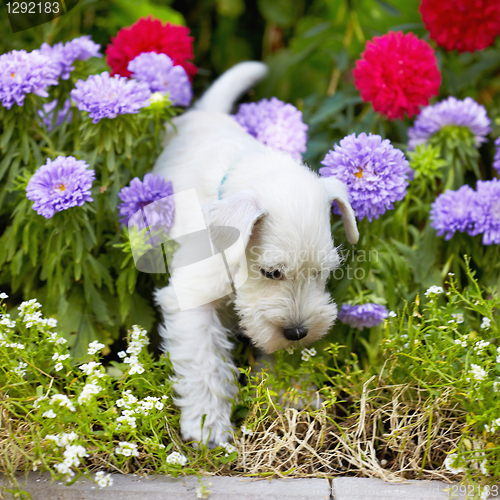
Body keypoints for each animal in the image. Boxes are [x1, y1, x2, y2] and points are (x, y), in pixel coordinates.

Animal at [151, 61, 356, 446]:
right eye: (271, 272)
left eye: (321, 273)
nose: (298, 332)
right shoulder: (193, 298)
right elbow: (204, 362)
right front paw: (208, 427)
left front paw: (290, 393)